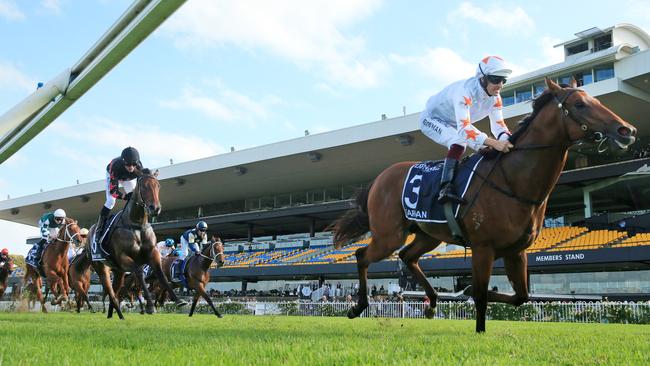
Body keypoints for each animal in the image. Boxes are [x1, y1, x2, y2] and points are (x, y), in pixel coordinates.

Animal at [87, 169, 186, 320]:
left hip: (118, 271)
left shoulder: (153, 254)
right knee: (110, 291)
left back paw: (115, 315)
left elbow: (160, 274)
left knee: (116, 291)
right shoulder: (124, 258)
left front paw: (178, 300)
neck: (136, 224)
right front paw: (150, 306)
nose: (154, 208)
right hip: (101, 267)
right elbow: (139, 273)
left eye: (158, 186)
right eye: (144, 186)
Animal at [332, 78, 636, 334]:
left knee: (408, 257)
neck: (514, 181)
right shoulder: (483, 247)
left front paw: (467, 294)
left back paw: (432, 301)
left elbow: (521, 296)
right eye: (580, 104)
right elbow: (480, 292)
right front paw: (478, 326)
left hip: (428, 234)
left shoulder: (516, 251)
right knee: (362, 255)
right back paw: (358, 307)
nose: (627, 130)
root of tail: (379, 178)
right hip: (389, 235)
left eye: (596, 100)